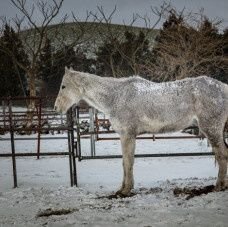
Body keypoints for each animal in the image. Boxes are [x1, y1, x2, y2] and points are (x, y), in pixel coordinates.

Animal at [54, 67, 228, 197]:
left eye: (63, 86)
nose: (56, 107)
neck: (116, 97)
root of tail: (223, 88)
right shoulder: (127, 136)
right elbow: (126, 161)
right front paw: (123, 188)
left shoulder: (127, 135)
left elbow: (127, 162)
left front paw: (125, 190)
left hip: (212, 130)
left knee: (222, 155)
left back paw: (219, 186)